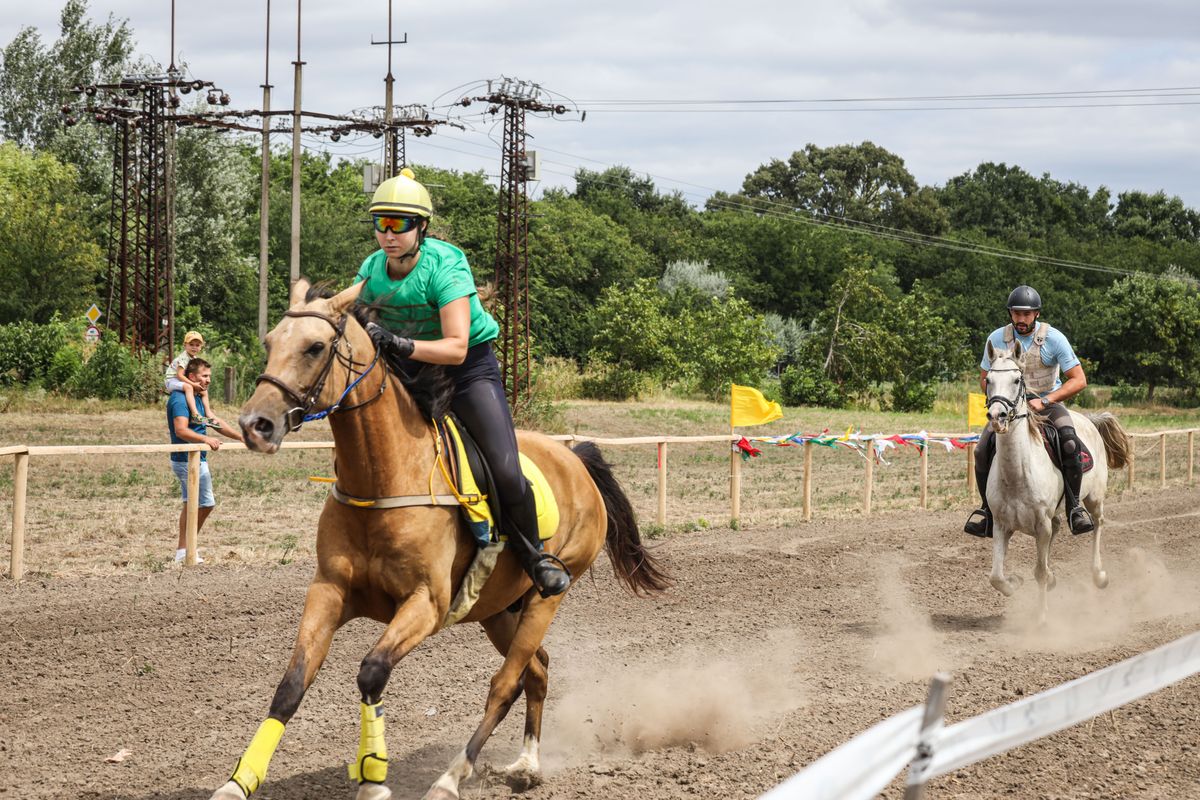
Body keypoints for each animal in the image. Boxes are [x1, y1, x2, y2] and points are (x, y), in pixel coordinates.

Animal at [210, 281, 672, 800]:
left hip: (546, 597)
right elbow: (291, 684)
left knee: (505, 684)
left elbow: (372, 671)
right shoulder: (329, 590)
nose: (255, 425)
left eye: (315, 347)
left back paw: (452, 777)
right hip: (498, 610)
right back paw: (527, 764)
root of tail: (577, 460)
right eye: (270, 342)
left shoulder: (426, 604)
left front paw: (373, 777)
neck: (383, 476)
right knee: (537, 671)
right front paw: (239, 782)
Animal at [979, 340, 1128, 623]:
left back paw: (1099, 575)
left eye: (1017, 380)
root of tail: (1088, 420)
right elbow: (995, 576)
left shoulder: (1042, 525)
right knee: (1060, 528)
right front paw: (1015, 581)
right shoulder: (1001, 525)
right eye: (988, 380)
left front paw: (1041, 618)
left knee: (1098, 524)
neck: (1017, 475)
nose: (997, 417)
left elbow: (1037, 571)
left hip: (1094, 499)